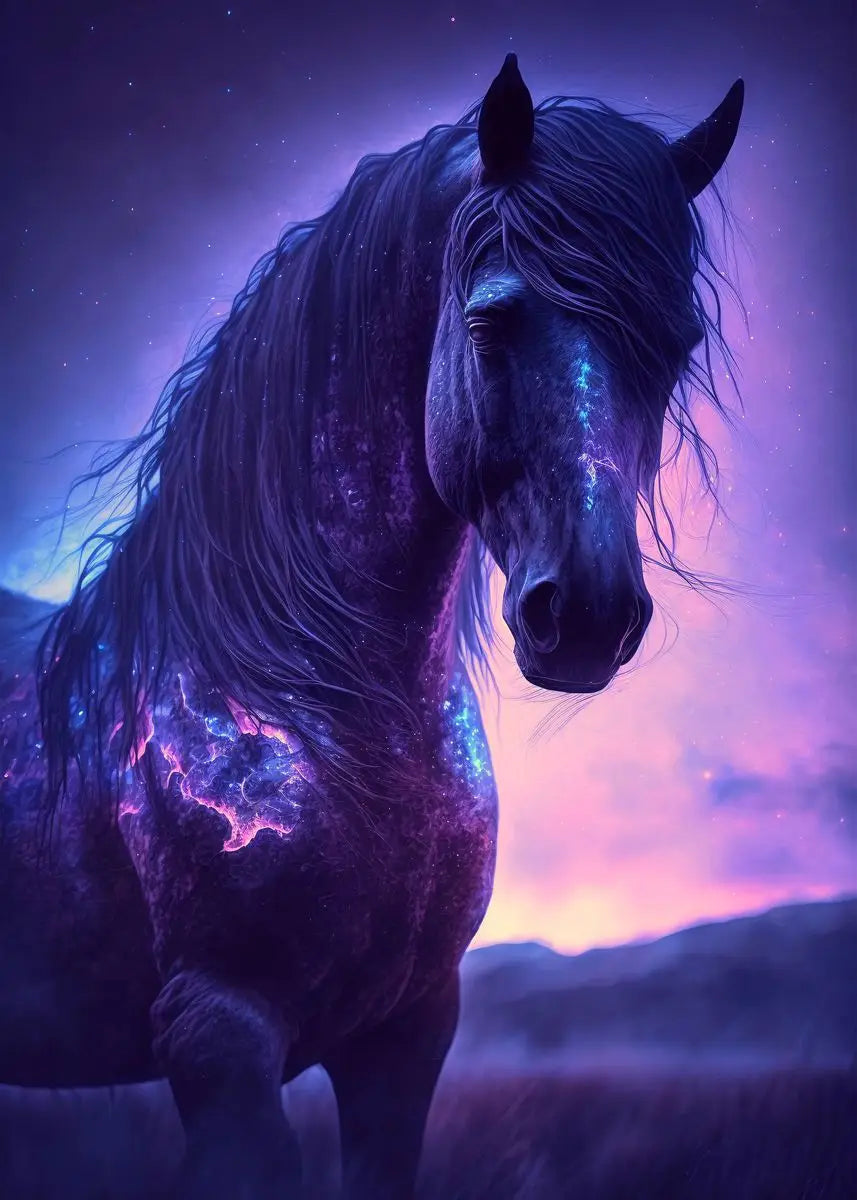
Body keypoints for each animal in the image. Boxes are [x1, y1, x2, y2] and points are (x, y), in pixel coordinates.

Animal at [0, 55, 744, 1199]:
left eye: (674, 345)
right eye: (489, 323)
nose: (586, 617)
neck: (310, 688)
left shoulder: (407, 1035)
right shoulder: (219, 1034)